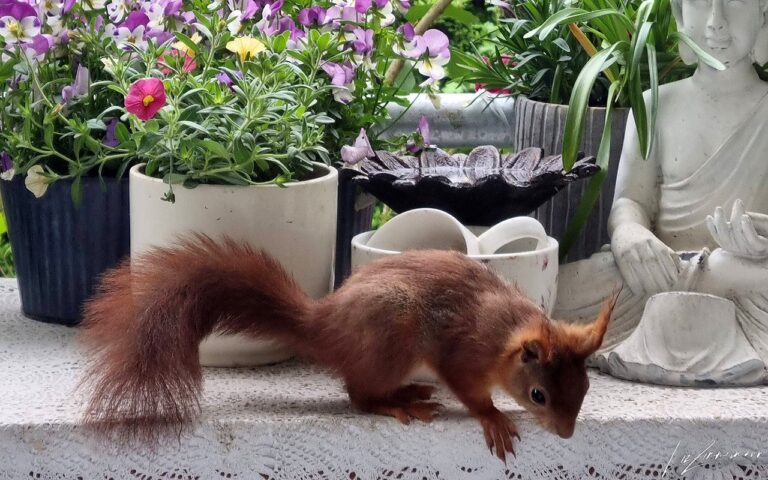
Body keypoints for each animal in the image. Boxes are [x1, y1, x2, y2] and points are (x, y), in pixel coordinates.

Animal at [79, 233, 616, 462]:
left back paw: (409, 394)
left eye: (586, 390)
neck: (507, 332)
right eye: (538, 396)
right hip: (391, 338)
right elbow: (470, 391)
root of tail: (324, 326)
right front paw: (493, 417)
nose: (567, 434)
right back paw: (398, 403)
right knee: (358, 396)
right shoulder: (463, 354)